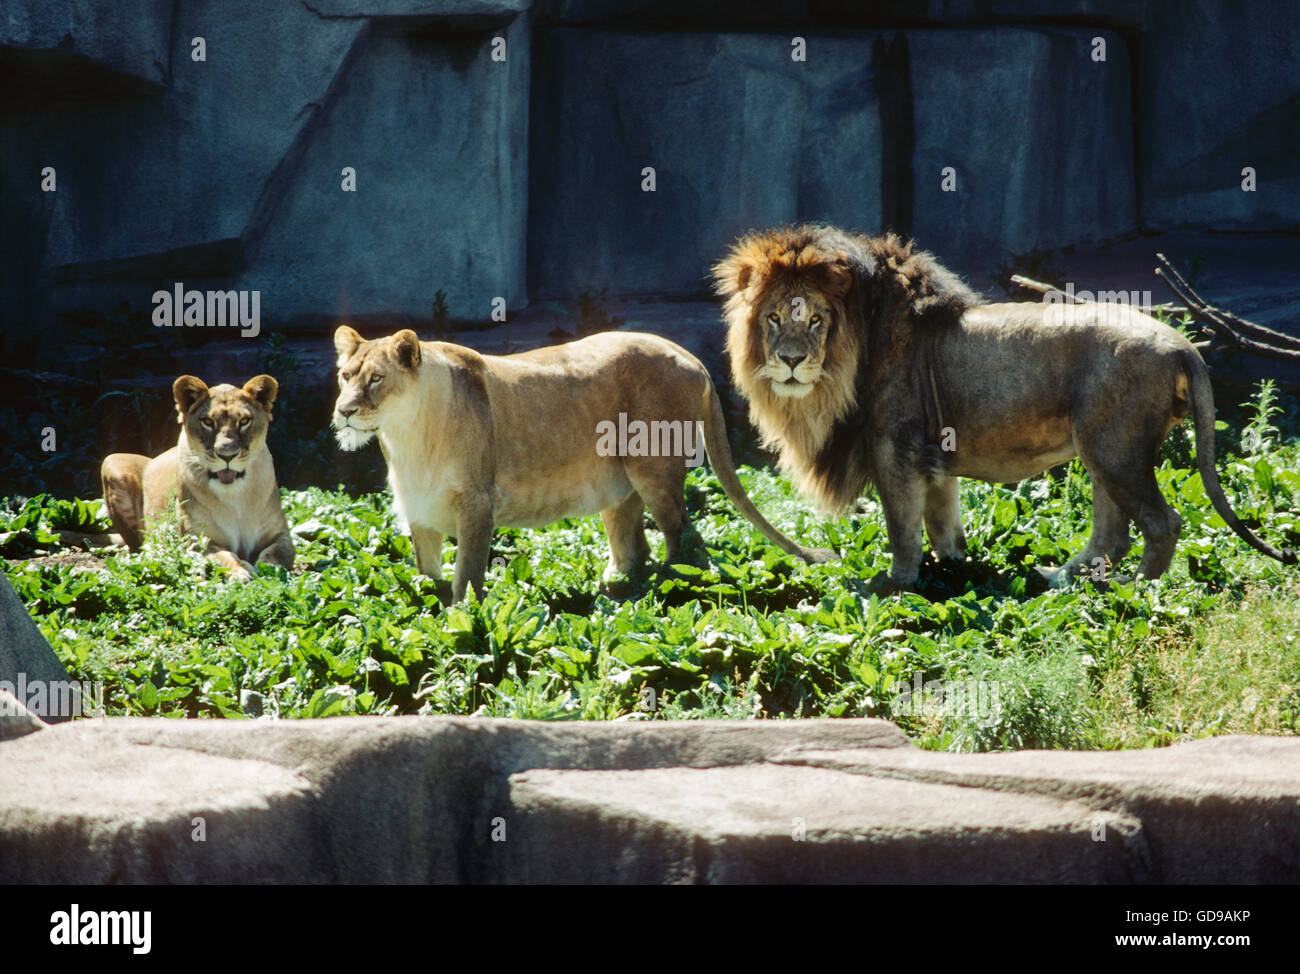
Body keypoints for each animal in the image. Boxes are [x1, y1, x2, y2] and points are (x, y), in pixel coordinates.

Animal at [97, 375, 295, 580]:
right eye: (207, 421)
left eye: (244, 420)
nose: (227, 455)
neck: (234, 497)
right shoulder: (196, 541)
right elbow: (224, 555)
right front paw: (241, 570)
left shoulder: (282, 536)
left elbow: (274, 556)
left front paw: (267, 572)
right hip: (112, 461)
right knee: (139, 546)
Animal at [331, 325, 835, 602]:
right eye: (345, 375)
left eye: (376, 379)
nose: (344, 410)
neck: (407, 436)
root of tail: (690, 356)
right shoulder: (419, 512)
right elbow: (428, 574)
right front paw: (428, 614)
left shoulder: (477, 505)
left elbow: (468, 575)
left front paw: (465, 620)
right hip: (621, 486)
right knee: (635, 546)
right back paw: (618, 588)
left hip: (655, 472)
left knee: (686, 539)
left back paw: (673, 587)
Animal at [713, 223, 1296, 589]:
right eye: (773, 318)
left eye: (814, 320)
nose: (790, 361)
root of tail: (1181, 344)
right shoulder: (932, 456)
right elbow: (942, 521)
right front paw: (953, 570)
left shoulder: (894, 449)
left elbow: (902, 527)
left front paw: (895, 585)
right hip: (1101, 450)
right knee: (1113, 532)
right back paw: (1062, 579)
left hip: (1117, 449)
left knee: (1160, 523)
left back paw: (1135, 592)